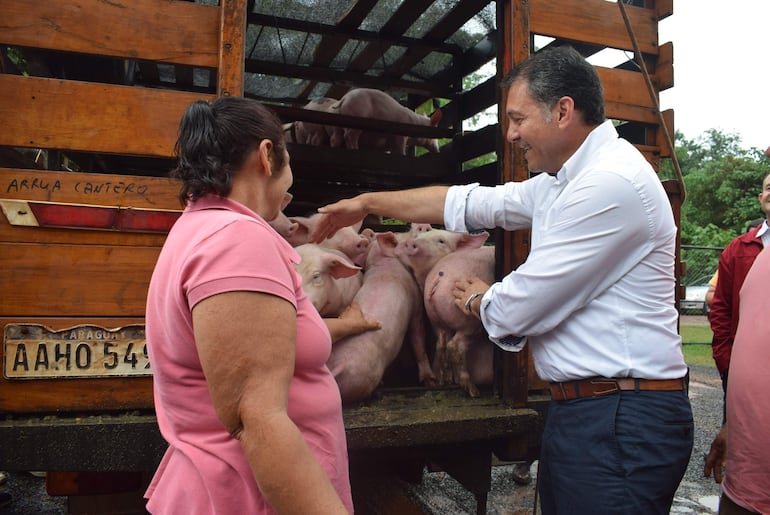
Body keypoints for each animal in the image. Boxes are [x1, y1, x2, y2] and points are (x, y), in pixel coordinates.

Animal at [326, 232, 432, 406]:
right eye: (401, 237)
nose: (413, 234)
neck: (382, 263)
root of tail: (337, 367)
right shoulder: (416, 303)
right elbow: (418, 337)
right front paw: (430, 381)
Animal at [420, 246, 492, 400]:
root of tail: (439, 276)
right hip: (469, 323)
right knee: (455, 346)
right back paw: (473, 392)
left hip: (437, 321)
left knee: (441, 345)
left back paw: (444, 382)